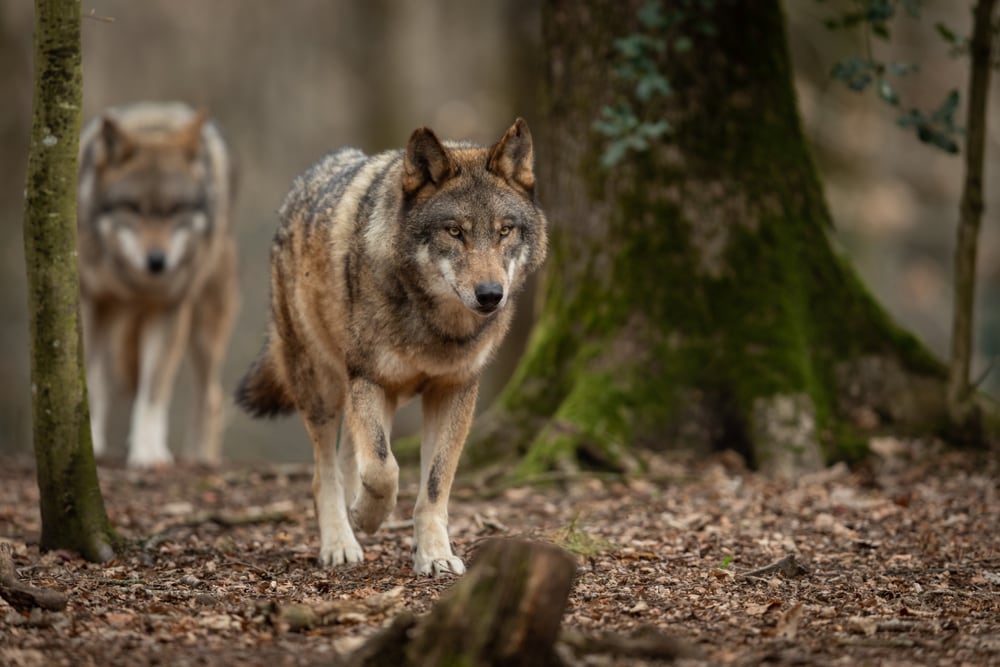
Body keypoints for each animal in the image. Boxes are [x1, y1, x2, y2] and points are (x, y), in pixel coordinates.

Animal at [77, 102, 239, 467]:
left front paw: (148, 454)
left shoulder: (168, 310)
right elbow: (88, 384)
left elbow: (152, 394)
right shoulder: (90, 305)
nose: (157, 261)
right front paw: (89, 443)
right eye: (134, 208)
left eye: (175, 210)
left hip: (205, 330)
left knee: (211, 399)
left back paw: (201, 459)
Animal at [235, 119, 547, 575]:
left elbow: (434, 484)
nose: (491, 295)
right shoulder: (370, 379)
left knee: (349, 455)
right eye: (454, 231)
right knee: (325, 473)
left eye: (505, 230)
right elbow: (384, 468)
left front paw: (434, 554)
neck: (436, 328)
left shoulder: (455, 389)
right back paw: (340, 542)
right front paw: (369, 516)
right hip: (322, 386)